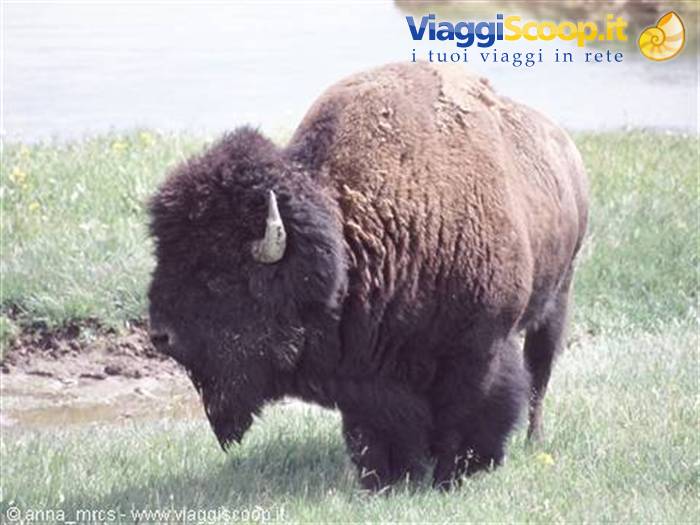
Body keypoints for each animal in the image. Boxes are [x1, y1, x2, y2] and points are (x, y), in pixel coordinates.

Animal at [148, 62, 588, 490]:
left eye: (218, 277)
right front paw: (387, 479)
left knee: (538, 374)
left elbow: (473, 410)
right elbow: (378, 428)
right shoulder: (366, 374)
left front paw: (458, 474)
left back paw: (533, 440)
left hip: (559, 295)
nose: (161, 335)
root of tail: (565, 148)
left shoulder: (481, 349)